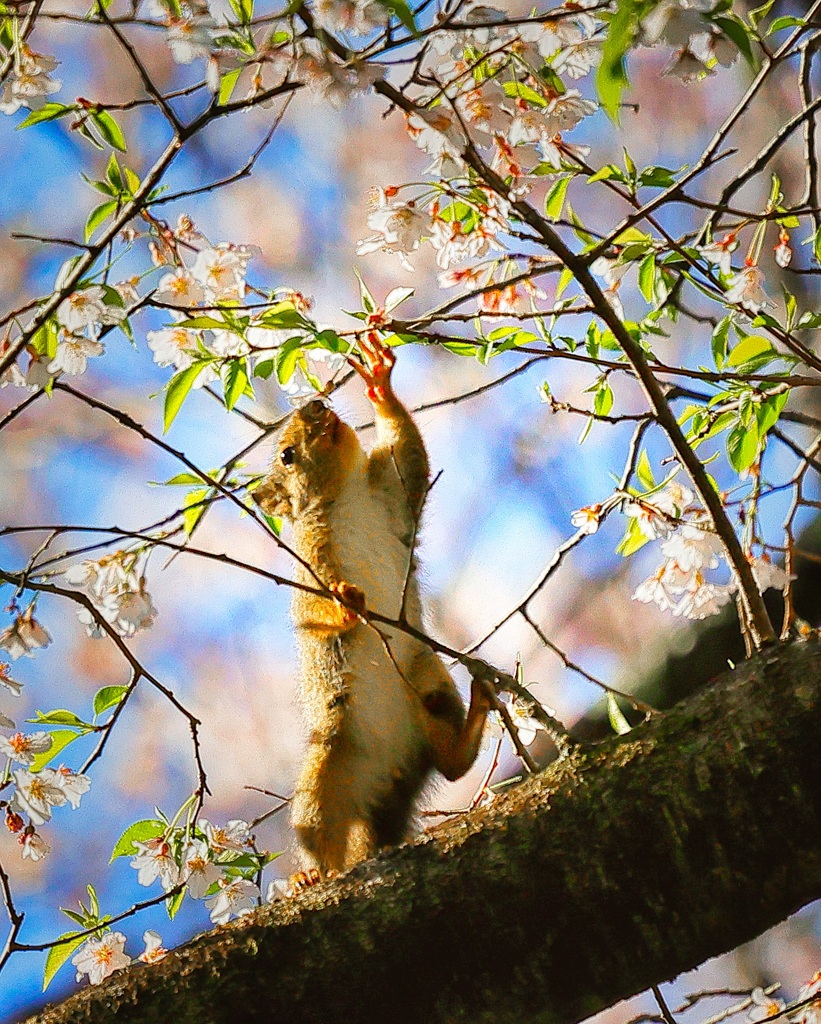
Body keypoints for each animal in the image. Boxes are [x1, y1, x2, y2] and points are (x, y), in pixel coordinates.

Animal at [252, 335, 489, 880]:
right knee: (319, 835)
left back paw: (478, 710)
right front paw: (346, 605)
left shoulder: (393, 494)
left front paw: (380, 381)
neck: (346, 497)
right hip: (328, 764)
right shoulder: (310, 566)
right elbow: (313, 611)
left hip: (428, 681)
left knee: (452, 764)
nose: (317, 406)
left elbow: (410, 457)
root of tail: (385, 789)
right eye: (287, 455)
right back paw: (311, 875)